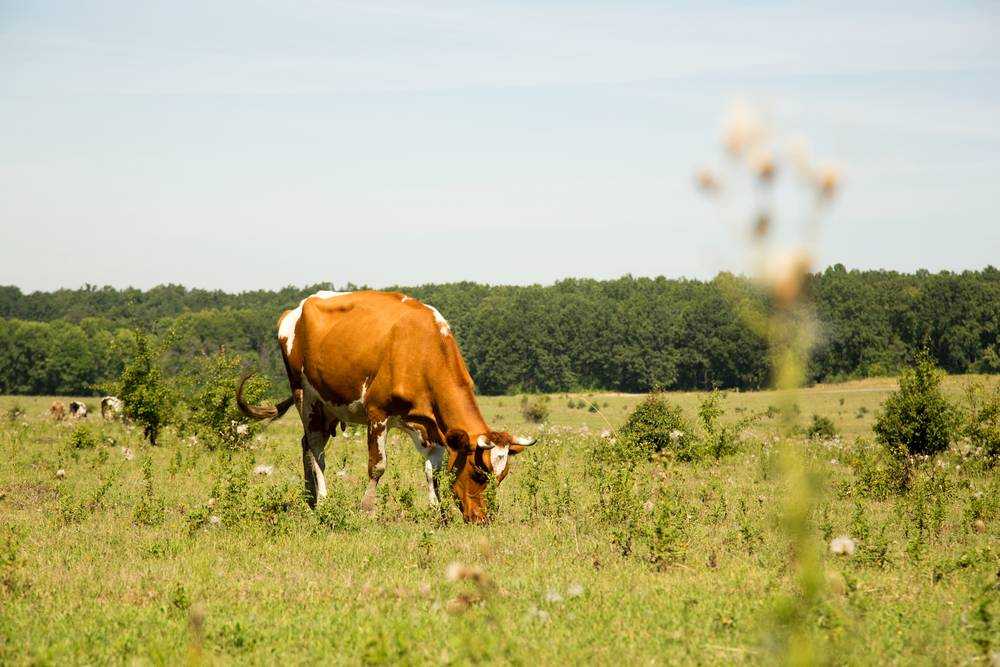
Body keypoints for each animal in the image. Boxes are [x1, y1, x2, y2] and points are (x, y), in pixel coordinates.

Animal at [236, 290, 540, 524]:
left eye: (502, 477)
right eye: (478, 473)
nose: (482, 518)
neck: (421, 349)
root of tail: (297, 309)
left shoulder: (429, 425)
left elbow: (432, 470)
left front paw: (438, 512)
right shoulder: (378, 413)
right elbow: (377, 466)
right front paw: (367, 510)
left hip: (330, 405)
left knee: (306, 444)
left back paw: (310, 496)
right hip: (305, 396)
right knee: (315, 448)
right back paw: (322, 500)